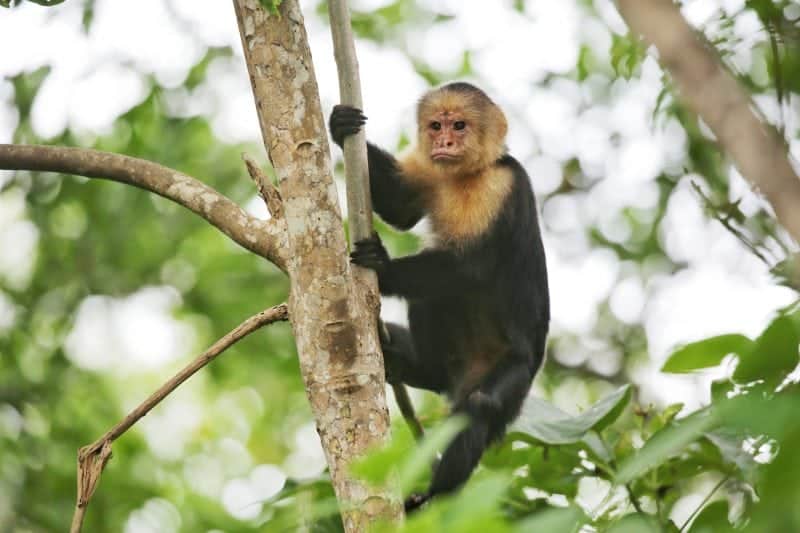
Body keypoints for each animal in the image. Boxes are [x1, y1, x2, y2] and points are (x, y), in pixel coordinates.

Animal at [328, 81, 548, 510]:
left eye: (459, 125)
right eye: (436, 126)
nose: (445, 141)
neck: (465, 176)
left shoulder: (499, 186)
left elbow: (471, 268)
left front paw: (383, 267)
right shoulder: (431, 169)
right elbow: (400, 209)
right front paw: (340, 126)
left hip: (515, 371)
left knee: (479, 407)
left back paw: (436, 495)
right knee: (430, 303)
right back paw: (409, 360)